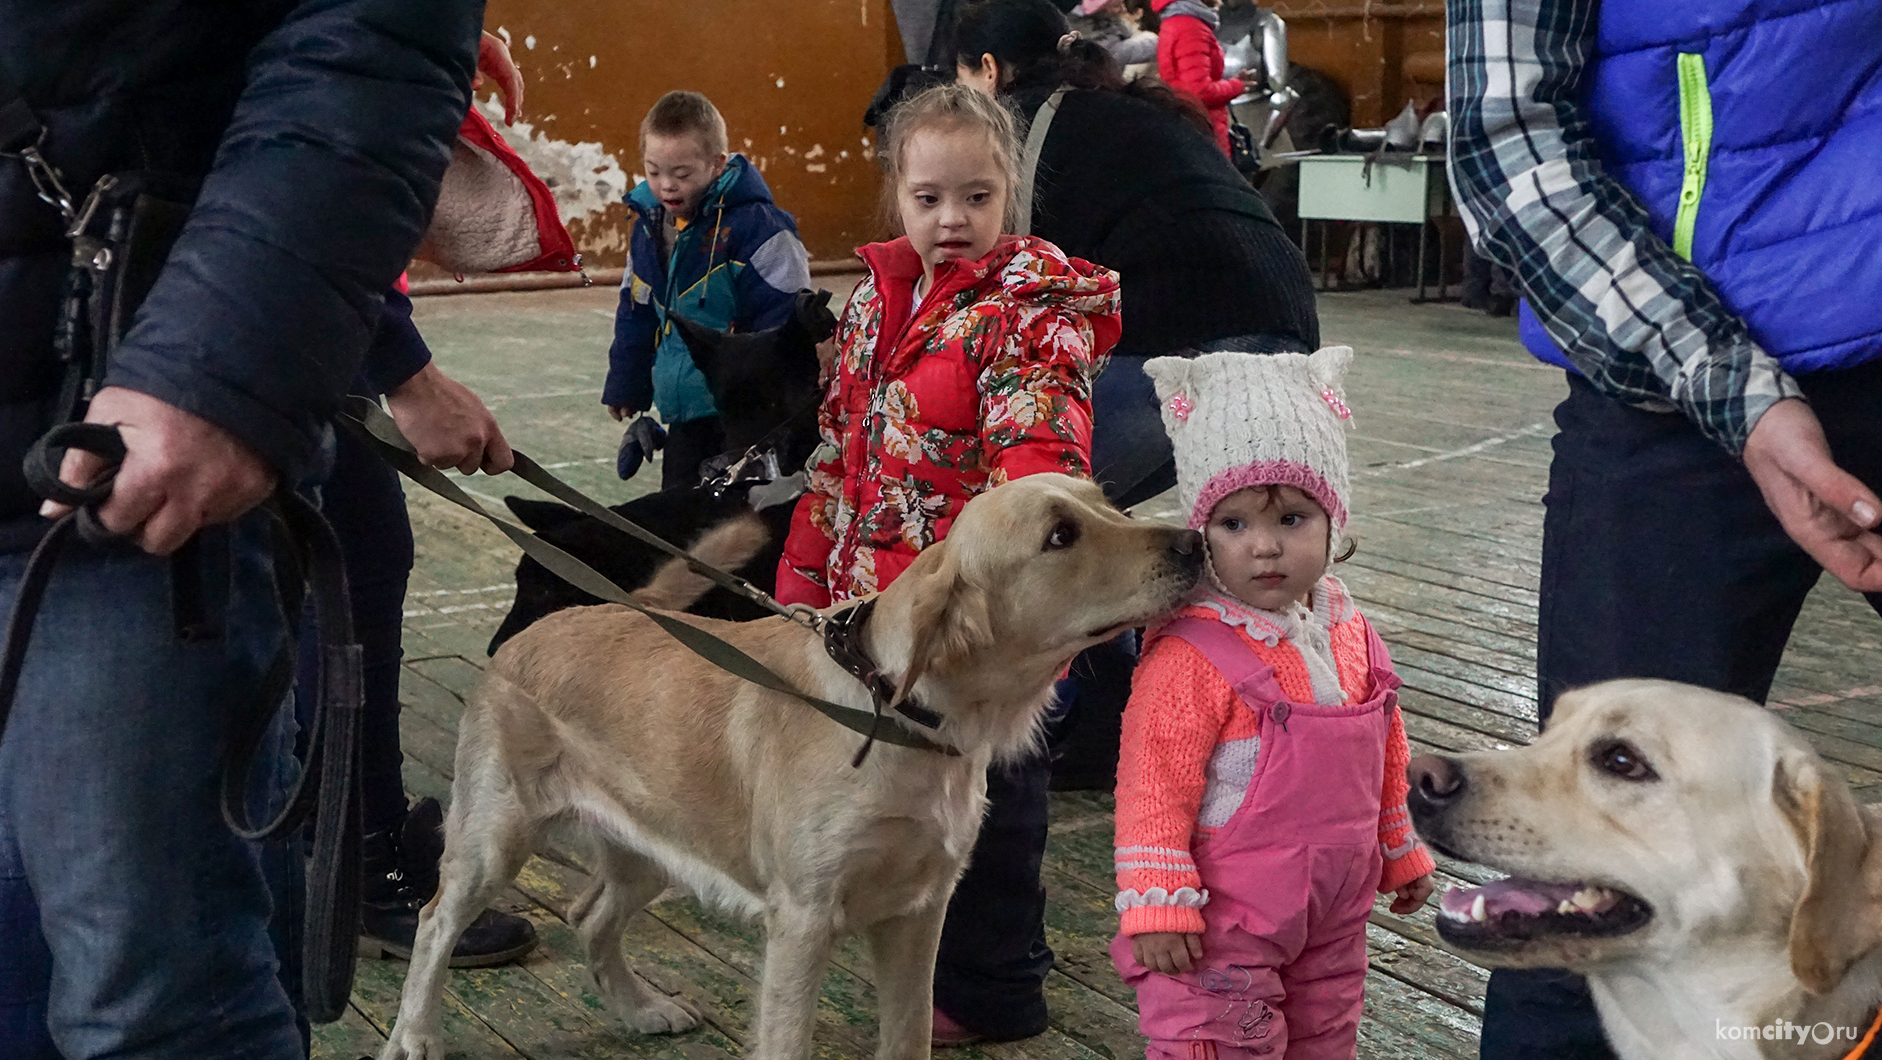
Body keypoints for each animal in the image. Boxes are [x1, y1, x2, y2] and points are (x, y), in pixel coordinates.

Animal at [383, 474, 1204, 1060]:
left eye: (1108, 504)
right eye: (1061, 535)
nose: (1194, 541)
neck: (907, 717)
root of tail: (550, 623)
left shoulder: (920, 911)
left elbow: (908, 1036)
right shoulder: (804, 920)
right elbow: (788, 1039)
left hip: (656, 843)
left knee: (590, 916)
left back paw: (643, 1008)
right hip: (495, 838)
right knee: (434, 921)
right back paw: (415, 1036)